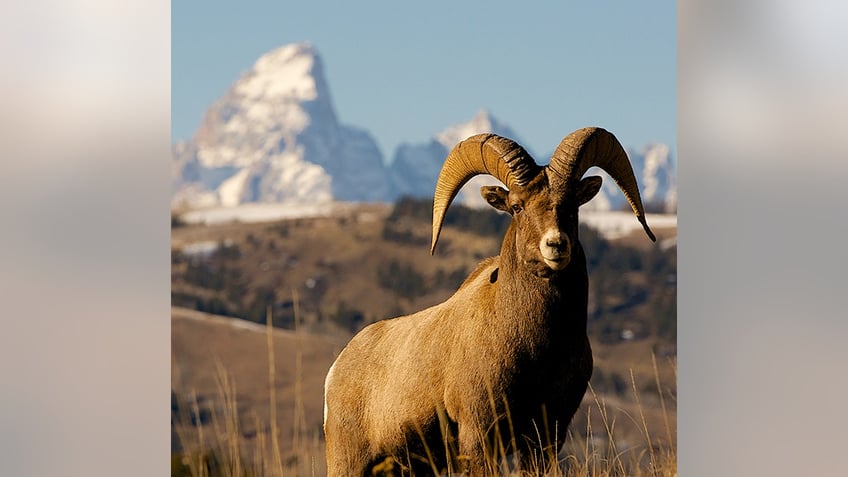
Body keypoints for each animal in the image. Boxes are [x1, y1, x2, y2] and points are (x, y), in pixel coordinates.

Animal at [324, 127, 656, 476]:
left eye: (572, 205)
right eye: (517, 206)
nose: (555, 245)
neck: (538, 348)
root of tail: (337, 370)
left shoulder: (545, 438)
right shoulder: (478, 436)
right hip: (349, 464)